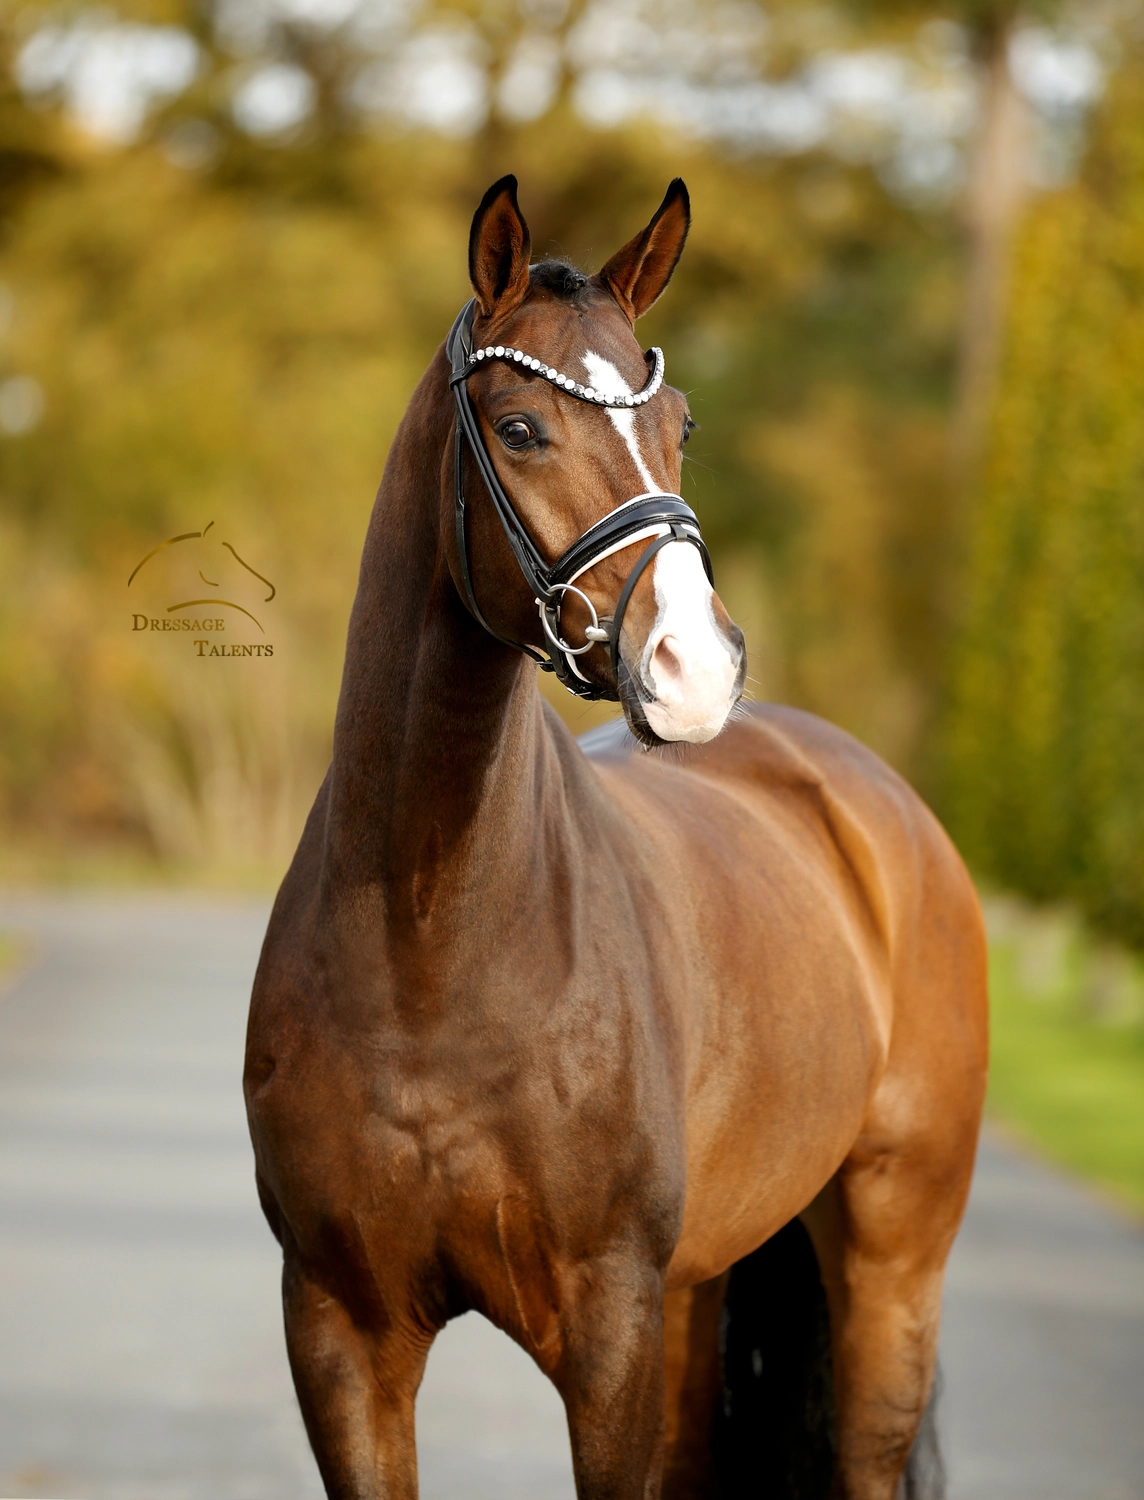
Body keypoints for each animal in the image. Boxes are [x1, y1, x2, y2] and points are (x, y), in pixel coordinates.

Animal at [244, 175, 988, 1500]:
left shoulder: (608, 1333)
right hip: (704, 1287)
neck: (429, 940)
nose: (695, 669)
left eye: (681, 423)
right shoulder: (340, 1328)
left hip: (891, 1260)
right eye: (521, 427)